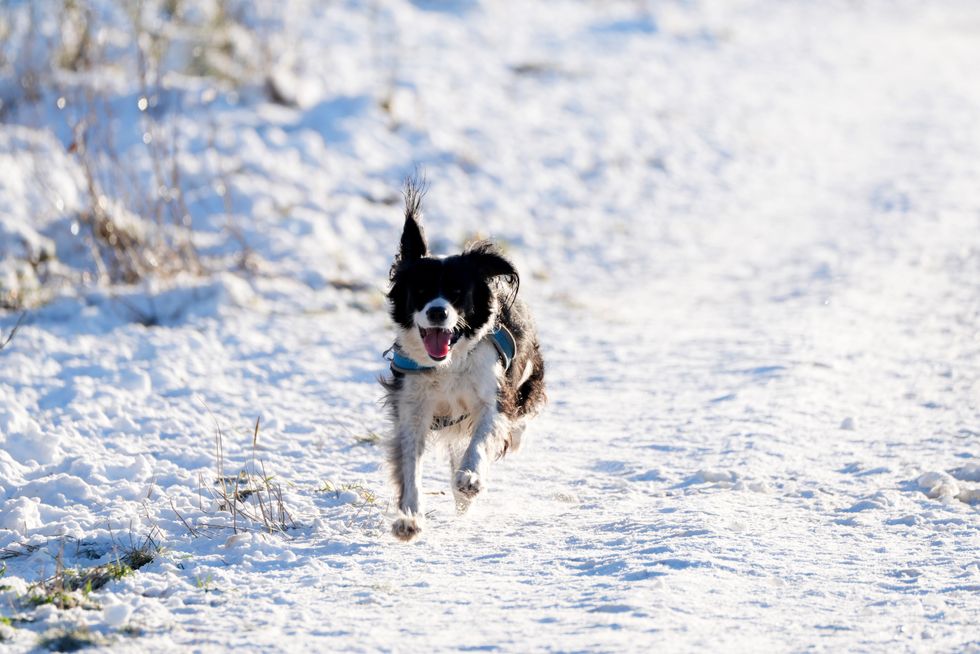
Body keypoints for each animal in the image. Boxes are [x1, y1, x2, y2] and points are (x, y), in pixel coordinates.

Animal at [382, 179, 548, 544]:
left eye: (457, 292)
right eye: (420, 291)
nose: (437, 312)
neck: (447, 365)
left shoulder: (493, 396)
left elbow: (482, 439)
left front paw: (469, 479)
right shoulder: (412, 406)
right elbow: (410, 464)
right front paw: (409, 519)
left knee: (517, 422)